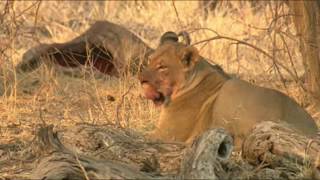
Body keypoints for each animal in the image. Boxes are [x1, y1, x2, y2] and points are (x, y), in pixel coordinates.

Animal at [139, 31, 318, 148]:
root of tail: (312, 132)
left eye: (162, 67)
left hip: (232, 87)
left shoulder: (167, 133)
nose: (140, 79)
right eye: (149, 60)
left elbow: (140, 135)